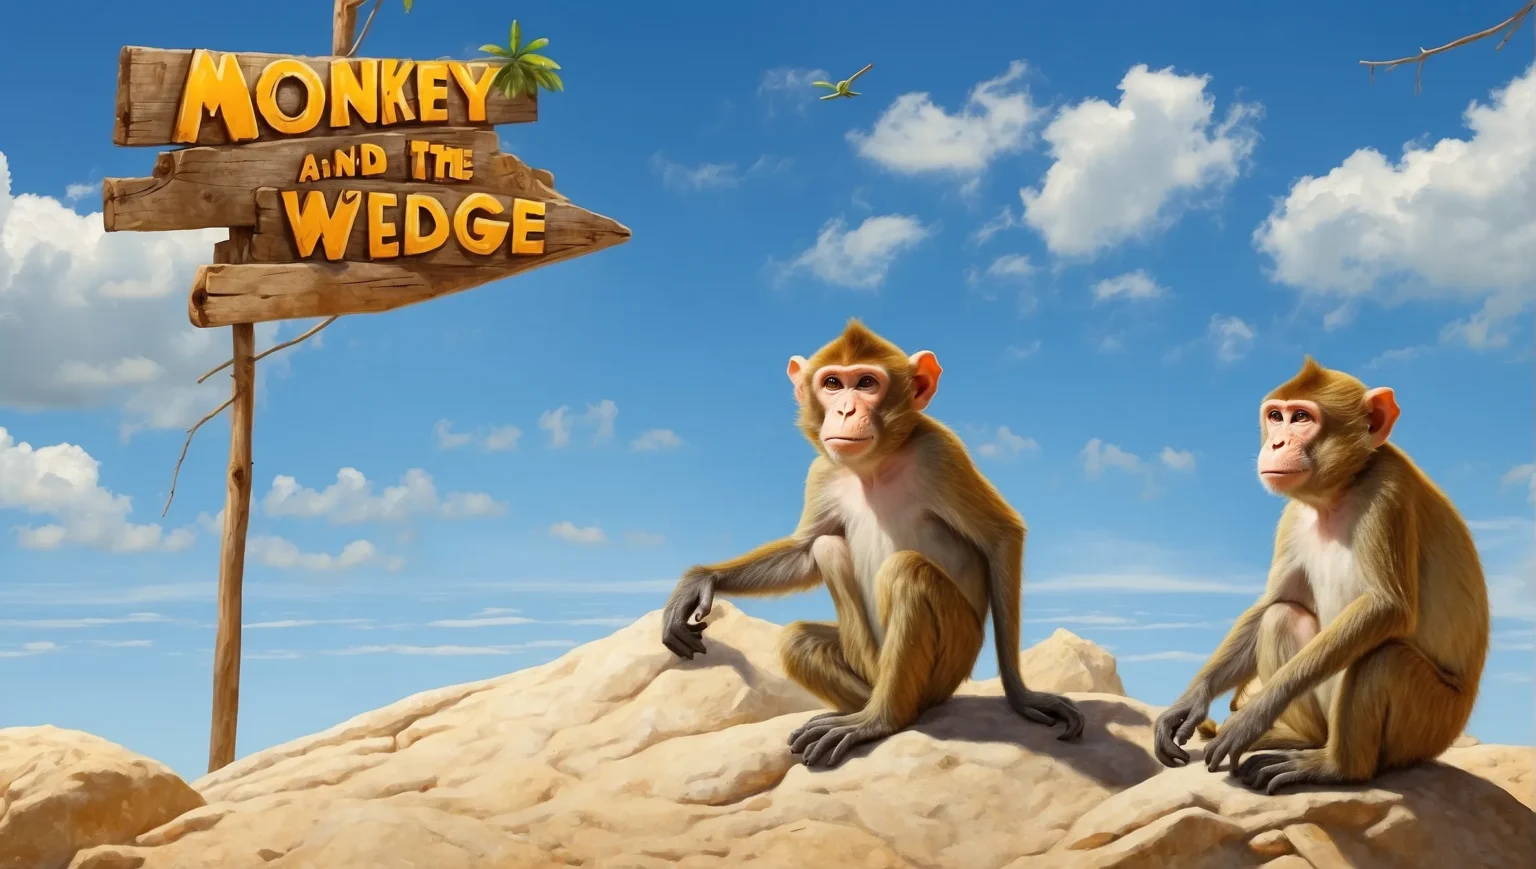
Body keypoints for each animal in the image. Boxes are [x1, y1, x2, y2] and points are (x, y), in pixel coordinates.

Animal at [660, 320, 1084, 769]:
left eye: (866, 383)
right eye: (832, 383)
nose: (845, 410)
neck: (875, 467)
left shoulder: (940, 452)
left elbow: (1000, 536)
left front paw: (1022, 696)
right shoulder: (822, 471)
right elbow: (804, 552)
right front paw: (700, 581)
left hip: (950, 661)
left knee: (906, 573)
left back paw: (881, 718)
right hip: (866, 659)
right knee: (811, 601)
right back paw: (858, 708)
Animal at [1153, 357, 1490, 794]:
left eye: (1301, 418)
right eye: (1276, 417)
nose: (1276, 444)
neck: (1337, 495)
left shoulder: (1389, 491)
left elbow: (1387, 608)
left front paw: (1252, 716)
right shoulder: (1293, 518)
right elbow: (1274, 602)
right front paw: (1189, 702)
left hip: (1429, 724)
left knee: (1384, 657)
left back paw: (1336, 767)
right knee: (1282, 616)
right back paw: (1300, 739)